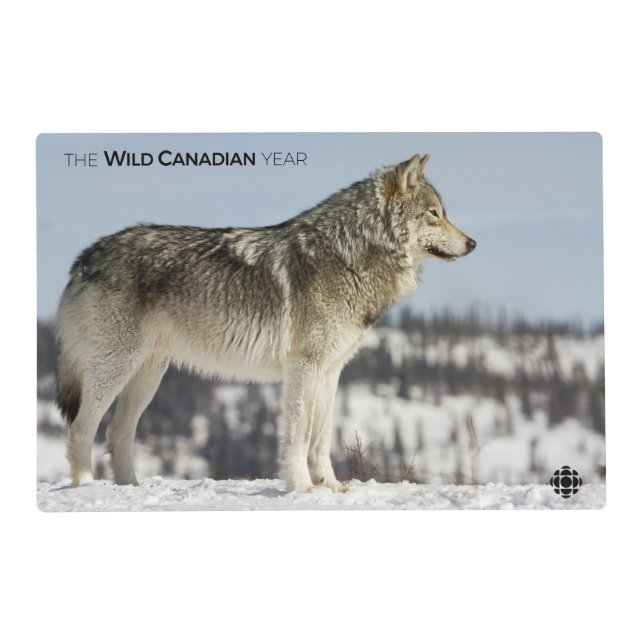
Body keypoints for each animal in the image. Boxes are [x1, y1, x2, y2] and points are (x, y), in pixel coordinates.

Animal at [55, 153, 476, 492]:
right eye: (434, 214)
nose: (472, 244)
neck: (350, 255)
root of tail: (85, 256)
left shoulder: (331, 371)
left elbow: (321, 438)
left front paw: (331, 487)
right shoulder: (303, 367)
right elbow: (298, 435)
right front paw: (301, 488)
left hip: (149, 374)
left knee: (117, 431)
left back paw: (131, 488)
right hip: (115, 369)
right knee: (81, 427)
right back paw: (88, 488)